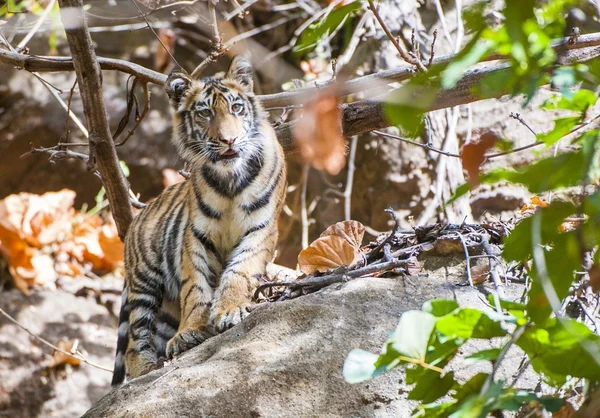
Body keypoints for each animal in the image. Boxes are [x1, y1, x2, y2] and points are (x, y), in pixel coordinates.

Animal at [112, 55, 288, 386]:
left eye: (236, 108)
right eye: (205, 113)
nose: (229, 139)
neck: (230, 179)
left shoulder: (261, 229)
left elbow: (240, 271)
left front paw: (230, 310)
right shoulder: (197, 236)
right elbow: (196, 286)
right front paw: (191, 331)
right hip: (144, 280)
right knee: (134, 338)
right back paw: (146, 368)